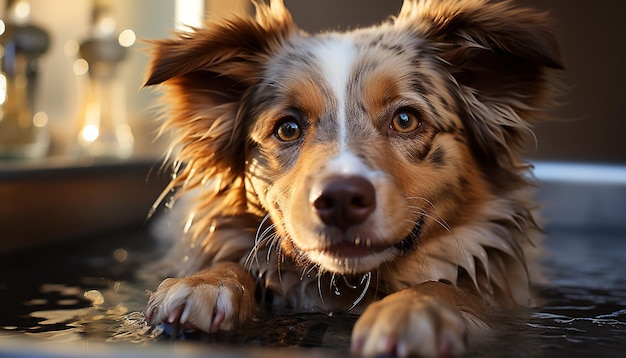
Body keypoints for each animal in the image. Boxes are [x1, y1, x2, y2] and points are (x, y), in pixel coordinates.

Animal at [143, 0, 560, 356]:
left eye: (405, 119)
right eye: (288, 128)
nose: (341, 199)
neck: (348, 286)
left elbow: (448, 289)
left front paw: (412, 310)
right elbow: (235, 263)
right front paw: (204, 283)